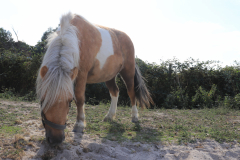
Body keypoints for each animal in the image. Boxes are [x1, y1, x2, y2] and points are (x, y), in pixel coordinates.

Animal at [36, 12, 153, 145]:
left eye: (69, 101)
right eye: (42, 100)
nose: (56, 139)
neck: (74, 36)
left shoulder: (81, 74)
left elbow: (80, 98)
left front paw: (79, 124)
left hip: (128, 71)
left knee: (131, 92)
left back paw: (134, 117)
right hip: (109, 75)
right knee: (115, 92)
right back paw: (110, 116)